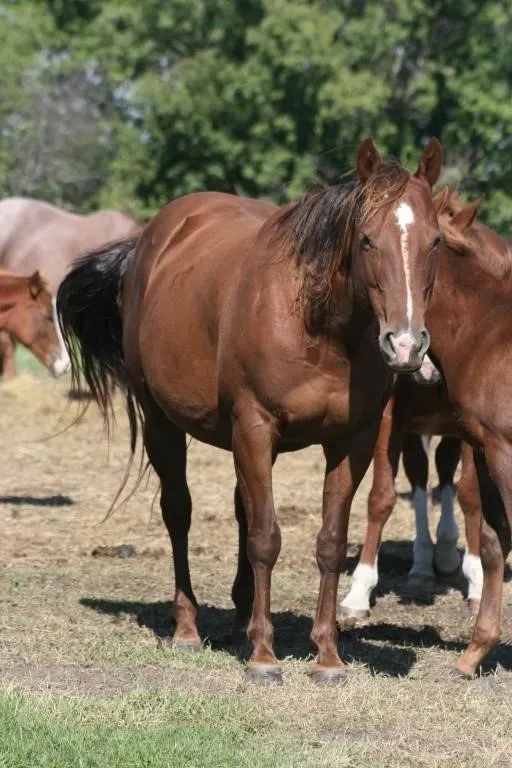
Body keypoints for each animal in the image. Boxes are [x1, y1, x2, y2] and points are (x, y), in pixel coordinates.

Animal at [58, 138, 443, 685]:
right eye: (367, 240)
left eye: (435, 242)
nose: (406, 345)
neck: (320, 329)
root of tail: (147, 243)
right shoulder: (256, 428)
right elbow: (265, 537)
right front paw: (264, 657)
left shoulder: (353, 439)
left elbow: (329, 541)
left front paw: (327, 656)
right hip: (162, 423)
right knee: (179, 512)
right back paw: (188, 627)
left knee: (242, 507)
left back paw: (242, 616)